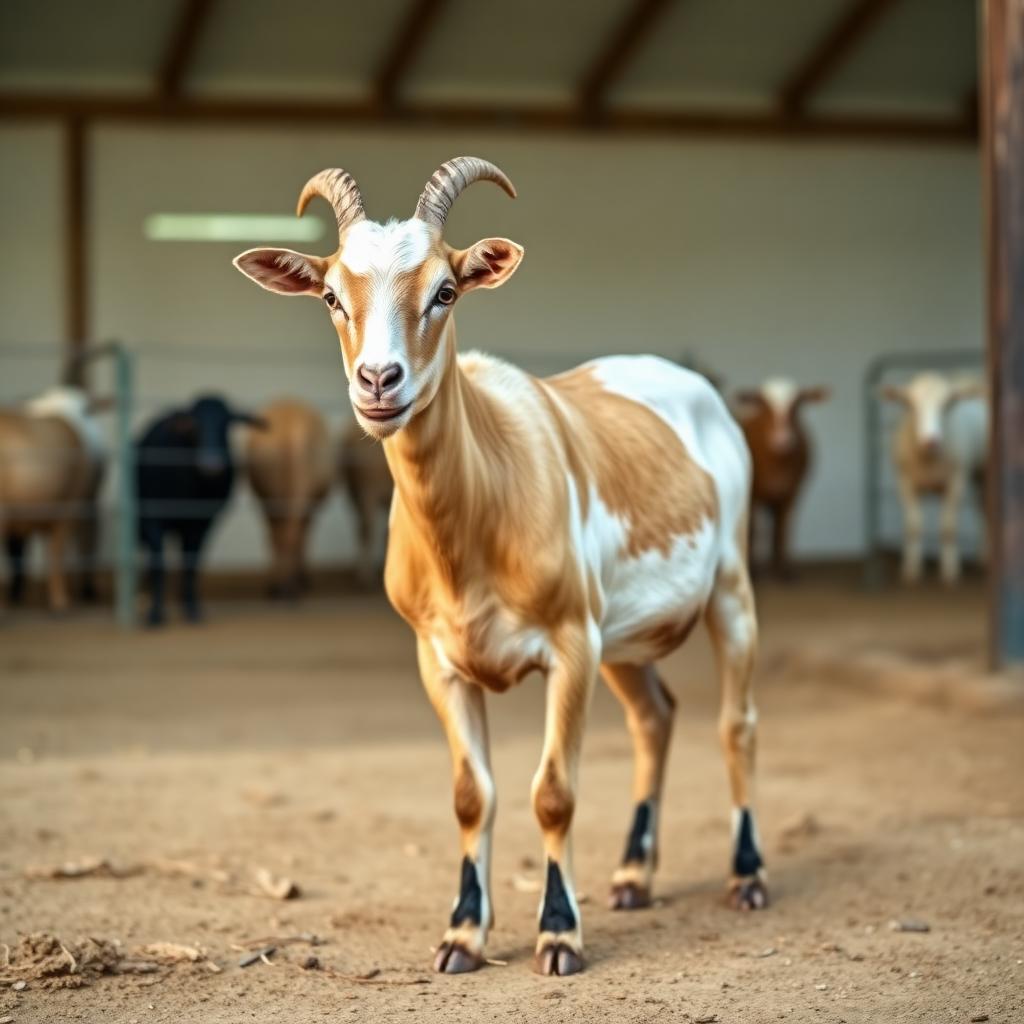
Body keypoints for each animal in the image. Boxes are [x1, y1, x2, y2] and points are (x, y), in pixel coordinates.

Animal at [136, 395, 265, 626]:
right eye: (194, 425)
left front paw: (192, 608)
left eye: (227, 423)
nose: (211, 465)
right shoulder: (152, 519)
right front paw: (155, 613)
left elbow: (191, 564)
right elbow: (159, 565)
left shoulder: (203, 524)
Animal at [735, 378, 829, 579]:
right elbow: (755, 530)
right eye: (762, 403)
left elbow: (783, 529)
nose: (782, 440)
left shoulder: (793, 493)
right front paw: (755, 571)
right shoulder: (754, 495)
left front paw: (785, 570)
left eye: (799, 403)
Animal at [881, 372, 987, 585]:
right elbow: (913, 526)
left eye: (948, 404)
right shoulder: (904, 483)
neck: (928, 461)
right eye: (911, 404)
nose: (931, 441)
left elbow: (948, 528)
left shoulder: (956, 481)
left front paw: (950, 571)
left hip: (983, 471)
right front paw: (911, 570)